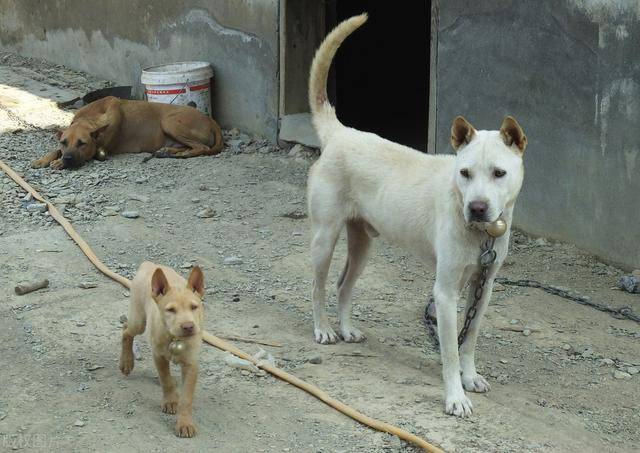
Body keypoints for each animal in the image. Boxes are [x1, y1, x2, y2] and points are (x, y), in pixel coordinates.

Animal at [31, 96, 224, 169]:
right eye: (64, 142)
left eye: (82, 144)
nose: (68, 159)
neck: (90, 118)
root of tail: (210, 120)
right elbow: (55, 150)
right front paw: (45, 159)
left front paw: (59, 162)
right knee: (189, 146)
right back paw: (167, 151)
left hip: (169, 121)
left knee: (202, 148)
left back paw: (179, 154)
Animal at [117, 262, 202, 438]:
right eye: (170, 310)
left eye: (194, 307)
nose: (188, 326)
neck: (175, 339)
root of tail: (150, 264)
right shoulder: (159, 357)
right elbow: (166, 380)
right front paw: (170, 400)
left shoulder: (191, 364)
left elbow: (186, 398)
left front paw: (185, 423)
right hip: (139, 321)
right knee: (126, 330)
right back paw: (126, 362)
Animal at [308, 14, 528, 416]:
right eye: (465, 173)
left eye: (499, 173)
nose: (477, 208)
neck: (479, 232)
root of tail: (341, 133)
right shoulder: (444, 294)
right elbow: (450, 351)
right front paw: (455, 396)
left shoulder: (483, 287)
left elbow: (470, 339)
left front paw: (471, 377)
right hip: (325, 238)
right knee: (318, 286)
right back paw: (324, 329)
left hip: (362, 245)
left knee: (343, 285)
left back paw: (346, 329)